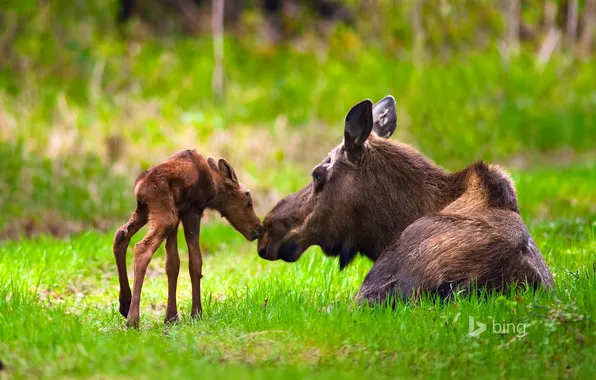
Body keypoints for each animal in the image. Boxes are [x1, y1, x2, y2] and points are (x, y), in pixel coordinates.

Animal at [114, 150, 264, 328]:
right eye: (248, 201)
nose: (260, 229)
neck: (214, 189)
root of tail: (140, 189)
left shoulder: (179, 214)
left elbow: (172, 264)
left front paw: (171, 317)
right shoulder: (192, 211)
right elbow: (195, 261)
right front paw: (196, 313)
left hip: (146, 211)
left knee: (120, 234)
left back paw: (125, 304)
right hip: (165, 216)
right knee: (142, 248)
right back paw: (133, 319)